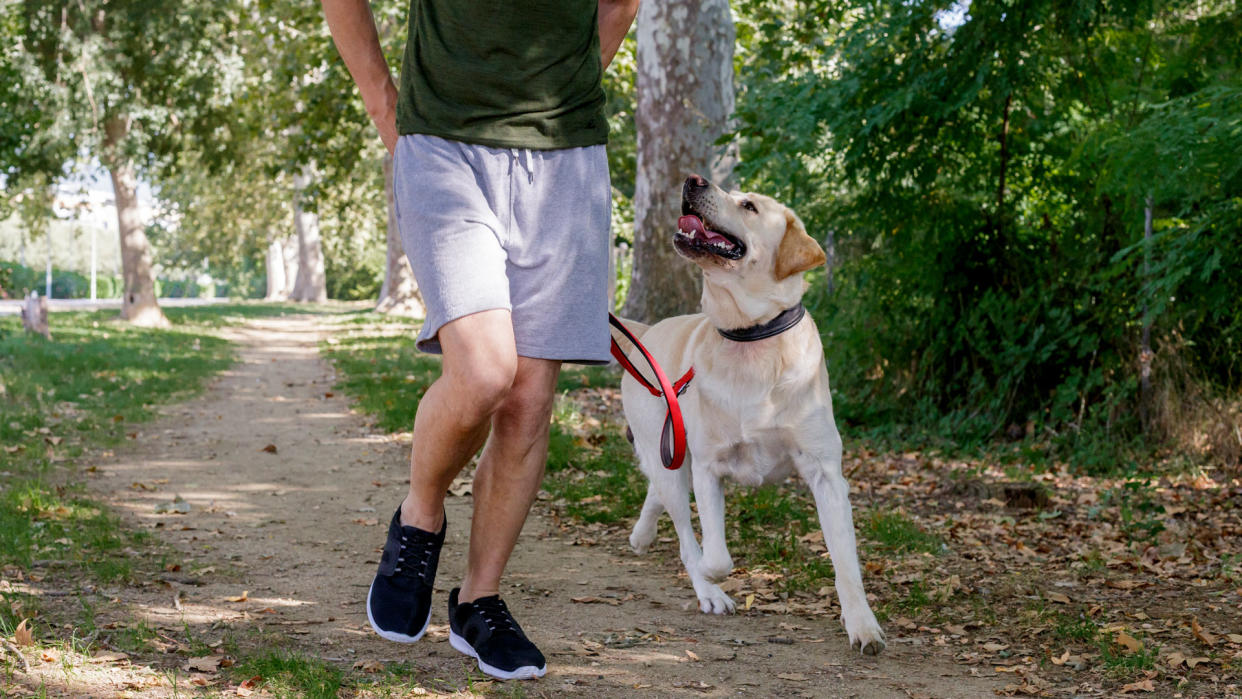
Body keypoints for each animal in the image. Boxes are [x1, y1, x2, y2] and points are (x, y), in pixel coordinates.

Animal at [616, 175, 889, 655]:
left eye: (748, 206)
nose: (692, 180)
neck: (750, 338)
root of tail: (648, 332)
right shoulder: (708, 468)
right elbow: (715, 555)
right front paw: (710, 575)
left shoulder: (826, 475)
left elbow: (846, 563)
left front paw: (862, 625)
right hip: (668, 452)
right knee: (681, 525)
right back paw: (705, 589)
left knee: (659, 494)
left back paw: (642, 535)